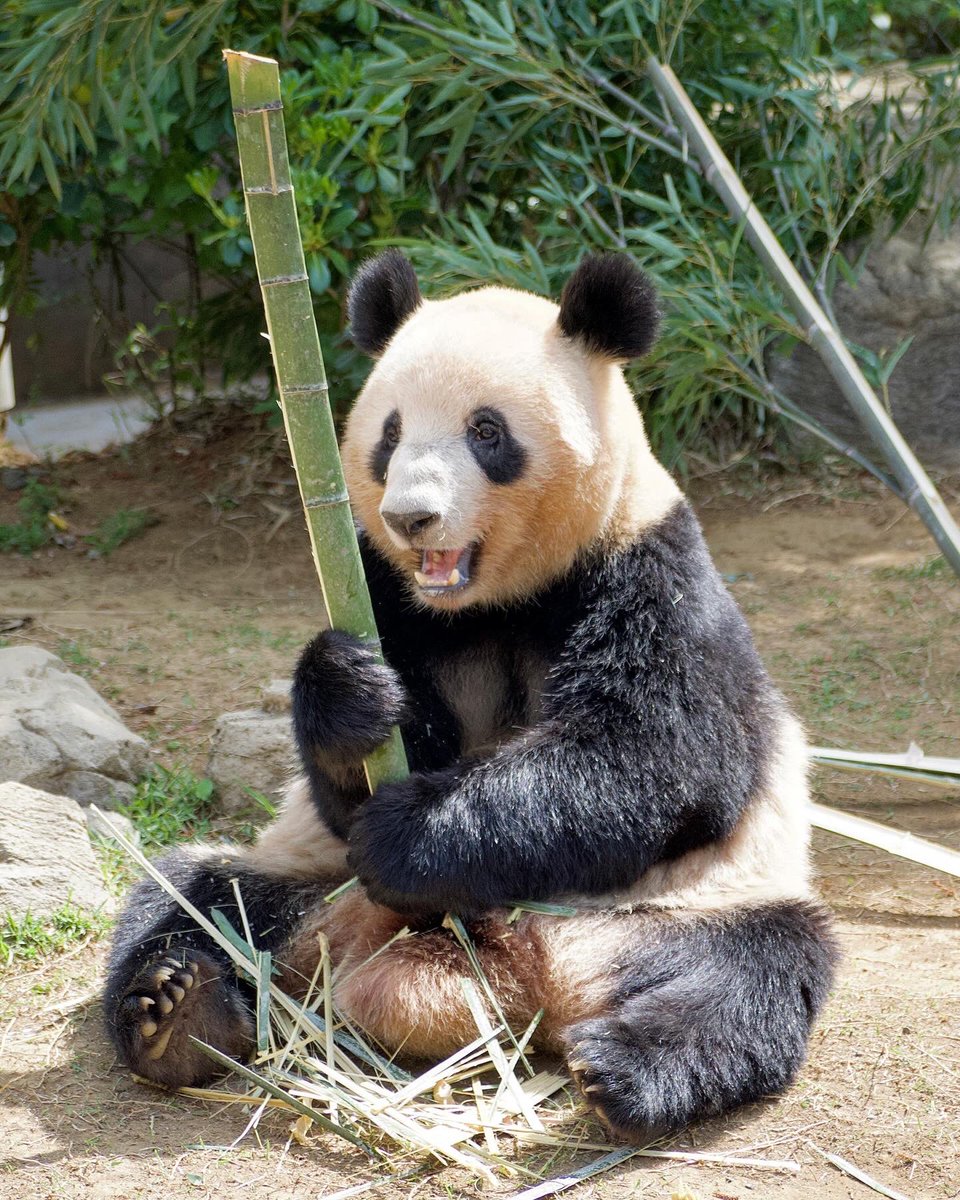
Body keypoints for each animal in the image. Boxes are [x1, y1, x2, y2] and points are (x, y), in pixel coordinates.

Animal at [105, 250, 835, 1132]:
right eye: (389, 434)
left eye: (486, 432)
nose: (412, 516)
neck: (495, 599)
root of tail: (529, 981)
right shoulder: (381, 590)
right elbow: (352, 774)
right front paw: (352, 694)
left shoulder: (652, 571)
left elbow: (657, 754)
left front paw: (410, 836)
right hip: (307, 886)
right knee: (193, 896)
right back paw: (175, 1013)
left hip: (678, 907)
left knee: (751, 973)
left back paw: (626, 1069)